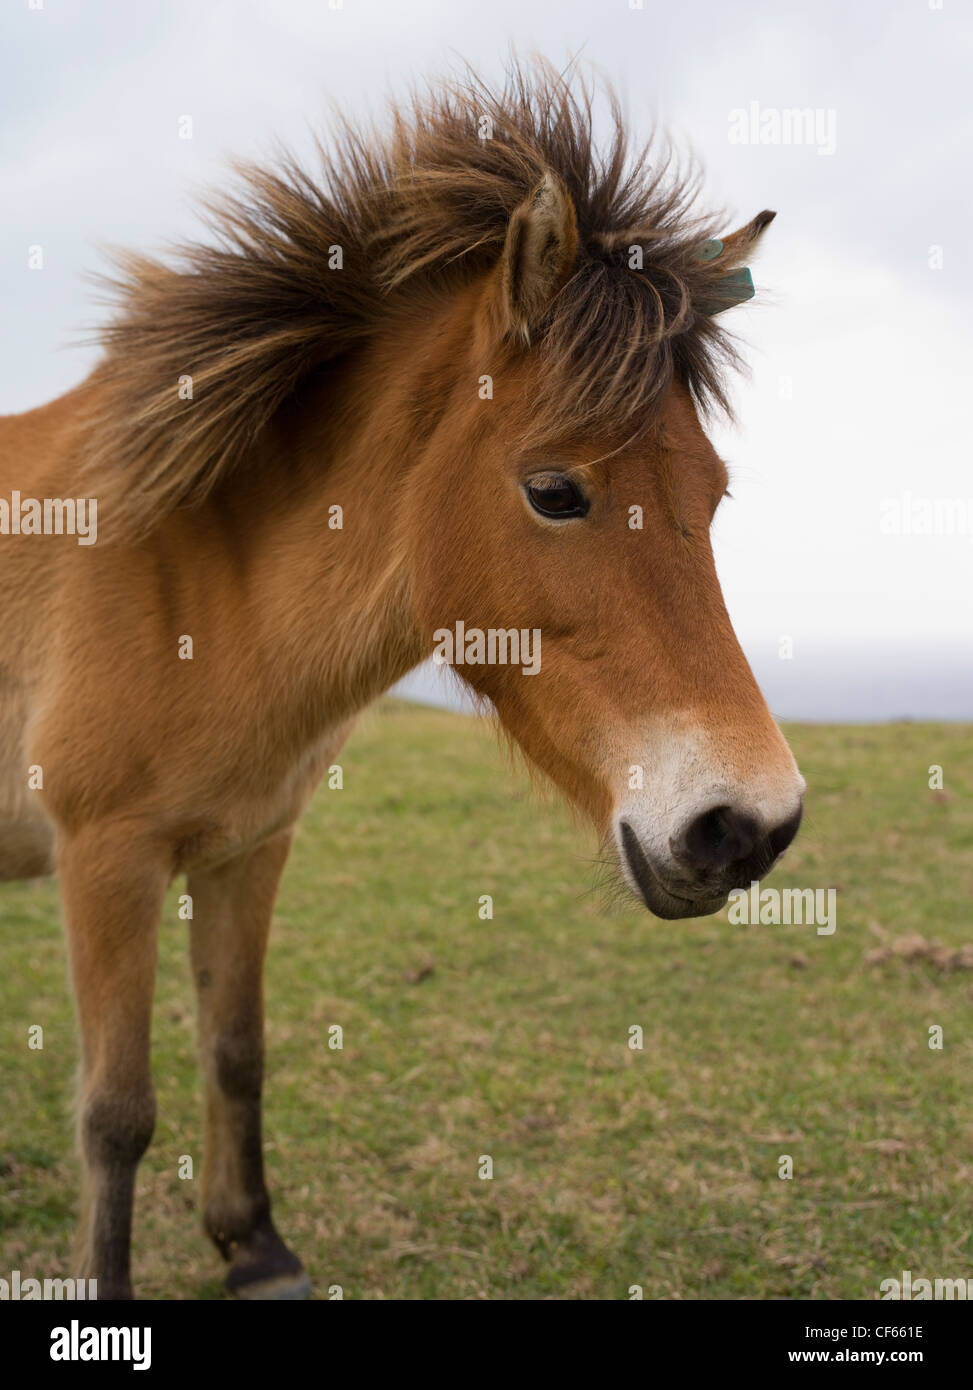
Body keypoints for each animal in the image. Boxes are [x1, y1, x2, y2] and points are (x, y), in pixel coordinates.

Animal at [0, 62, 800, 1301]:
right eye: (554, 491)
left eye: (711, 494)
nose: (745, 825)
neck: (191, 568)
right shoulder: (107, 858)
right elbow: (116, 1115)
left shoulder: (247, 846)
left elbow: (236, 1048)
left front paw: (255, 1245)